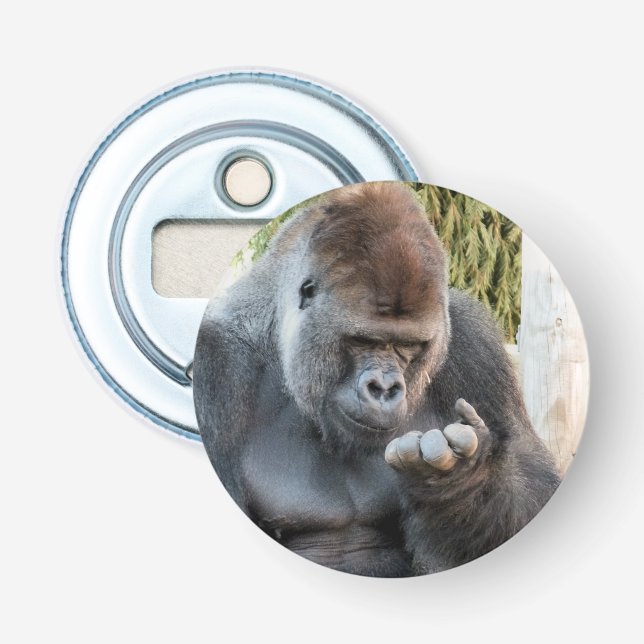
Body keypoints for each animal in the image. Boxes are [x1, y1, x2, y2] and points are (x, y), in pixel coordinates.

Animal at [193, 182, 561, 577]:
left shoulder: (472, 341)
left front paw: (461, 480)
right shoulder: (216, 366)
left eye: (408, 346)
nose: (384, 389)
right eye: (363, 341)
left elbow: (533, 483)